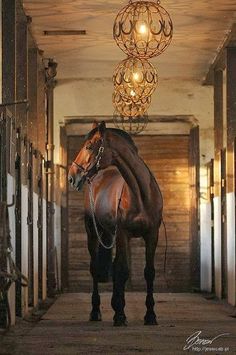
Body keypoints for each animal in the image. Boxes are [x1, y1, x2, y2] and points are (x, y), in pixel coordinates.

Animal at [68, 121, 162, 326]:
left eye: (89, 146)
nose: (72, 176)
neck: (141, 194)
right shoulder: (123, 234)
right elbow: (123, 270)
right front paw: (119, 315)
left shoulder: (152, 235)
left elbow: (148, 272)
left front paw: (150, 315)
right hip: (94, 235)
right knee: (96, 268)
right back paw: (96, 312)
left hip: (111, 234)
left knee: (116, 264)